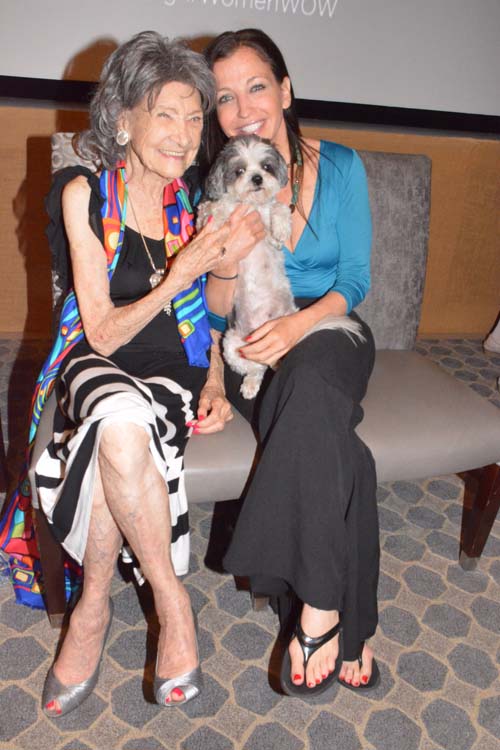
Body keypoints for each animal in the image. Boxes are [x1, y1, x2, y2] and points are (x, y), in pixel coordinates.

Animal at [197, 134, 366, 400]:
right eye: (239, 170)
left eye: (266, 167)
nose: (257, 178)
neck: (253, 206)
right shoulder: (218, 207)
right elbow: (215, 207)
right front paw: (216, 219)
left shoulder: (269, 210)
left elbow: (278, 209)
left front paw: (280, 230)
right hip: (232, 342)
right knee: (252, 365)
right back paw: (250, 383)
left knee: (260, 366)